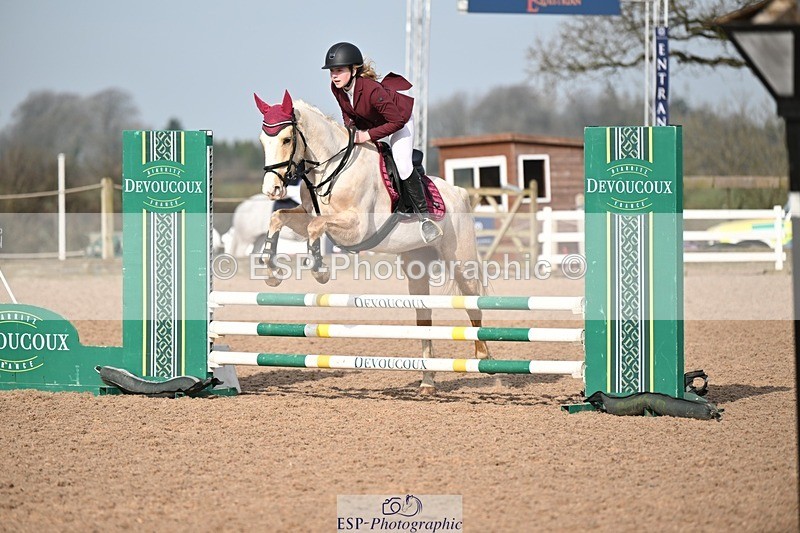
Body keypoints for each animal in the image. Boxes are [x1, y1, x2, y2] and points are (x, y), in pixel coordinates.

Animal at [254, 90, 489, 394]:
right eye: (263, 141)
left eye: (286, 139)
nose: (271, 190)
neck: (332, 168)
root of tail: (458, 191)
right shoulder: (307, 216)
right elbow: (279, 218)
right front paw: (271, 271)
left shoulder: (357, 229)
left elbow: (317, 227)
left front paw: (319, 270)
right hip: (417, 264)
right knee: (424, 315)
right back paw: (427, 382)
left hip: (460, 259)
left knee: (472, 298)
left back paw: (483, 356)